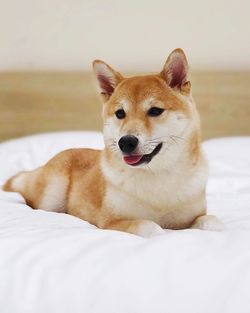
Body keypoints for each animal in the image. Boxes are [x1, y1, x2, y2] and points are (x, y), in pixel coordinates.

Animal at [2, 48, 221, 236]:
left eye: (155, 111)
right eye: (120, 113)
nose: (126, 142)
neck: (157, 176)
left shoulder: (193, 215)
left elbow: (212, 221)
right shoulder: (110, 222)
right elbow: (151, 226)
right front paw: (161, 231)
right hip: (50, 196)